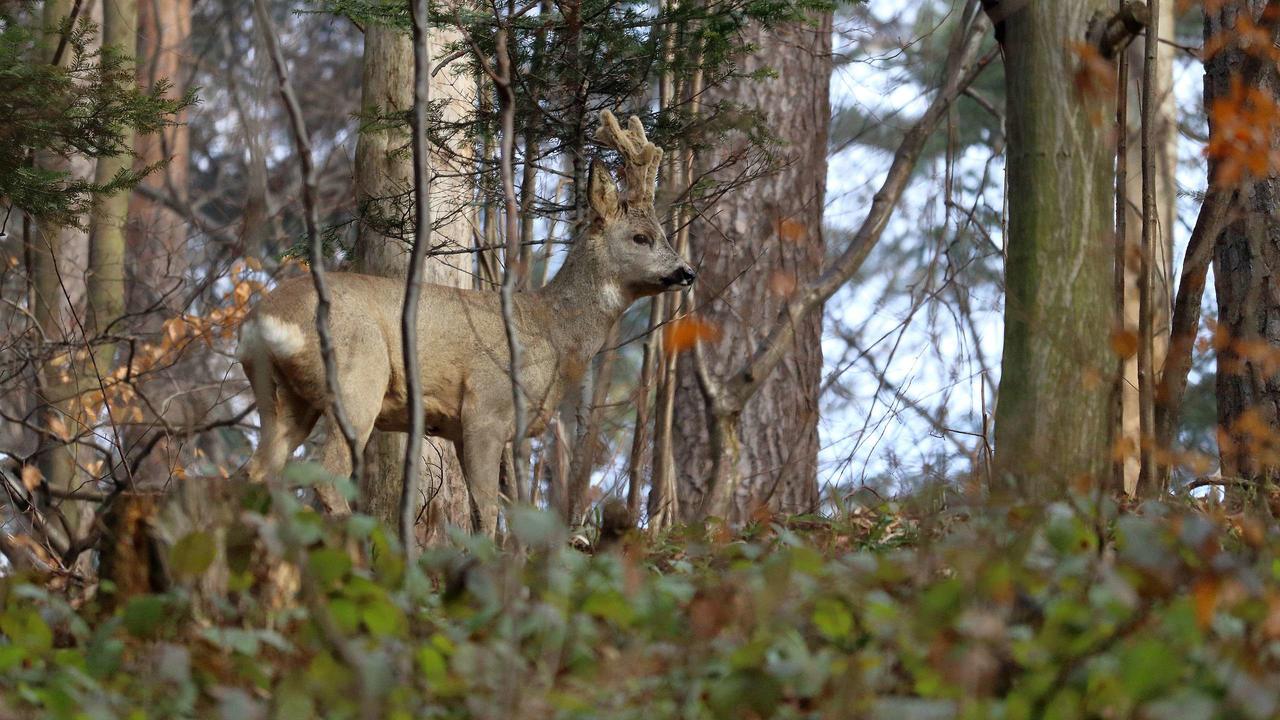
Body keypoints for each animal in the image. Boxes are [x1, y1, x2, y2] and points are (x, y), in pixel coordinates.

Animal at [240, 110, 701, 532]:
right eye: (641, 238)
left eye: (663, 233)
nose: (687, 272)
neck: (552, 333)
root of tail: (265, 319)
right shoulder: (486, 408)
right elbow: (490, 512)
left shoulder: (461, 428)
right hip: (357, 380)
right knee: (325, 479)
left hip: (282, 398)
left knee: (255, 473)